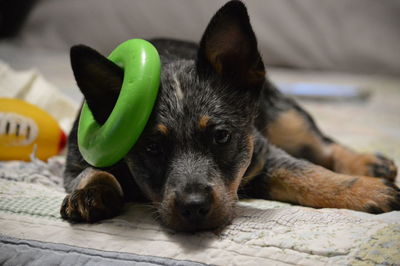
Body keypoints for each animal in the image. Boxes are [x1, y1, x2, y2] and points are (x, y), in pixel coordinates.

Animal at [61, 1, 398, 232]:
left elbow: (308, 174)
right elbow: (89, 170)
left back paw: (368, 163)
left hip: (284, 117)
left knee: (322, 144)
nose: (194, 207)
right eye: (152, 148)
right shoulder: (74, 160)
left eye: (221, 136)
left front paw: (366, 189)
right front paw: (91, 192)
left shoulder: (263, 152)